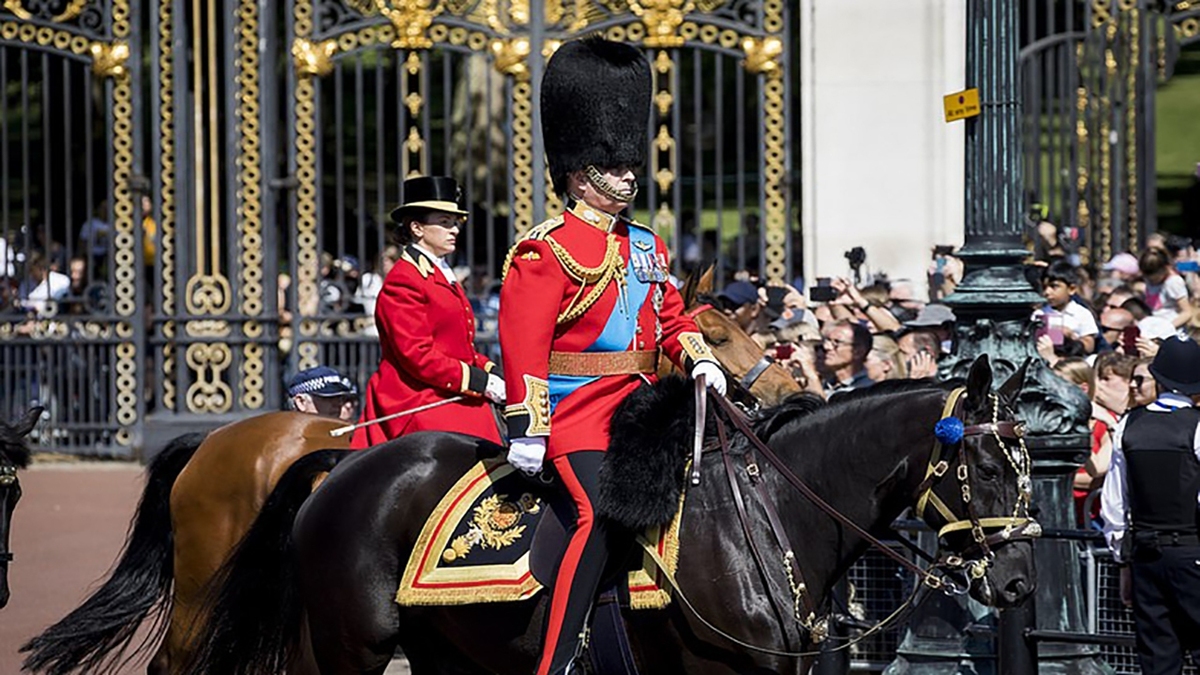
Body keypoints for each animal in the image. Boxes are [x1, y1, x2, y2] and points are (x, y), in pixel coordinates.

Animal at [184, 355, 1032, 667]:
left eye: (1028, 469)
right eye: (989, 466)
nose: (1020, 582)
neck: (768, 520)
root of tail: (344, 462)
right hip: (348, 644)